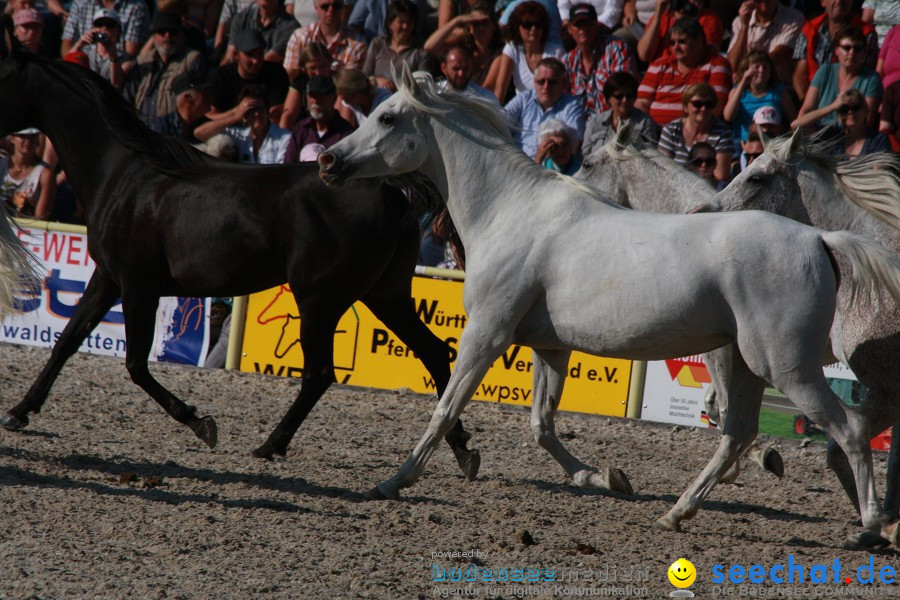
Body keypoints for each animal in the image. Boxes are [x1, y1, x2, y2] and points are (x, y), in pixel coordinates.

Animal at [0, 35, 478, 478]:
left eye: (0, 76)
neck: (124, 174)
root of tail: (392, 190)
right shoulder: (107, 279)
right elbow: (67, 341)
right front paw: (19, 412)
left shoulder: (139, 286)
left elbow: (135, 364)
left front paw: (200, 423)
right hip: (385, 294)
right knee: (435, 354)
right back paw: (461, 450)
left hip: (320, 299)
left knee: (320, 373)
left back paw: (271, 444)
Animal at [320, 69, 900, 544]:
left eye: (386, 116)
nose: (328, 161)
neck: (510, 211)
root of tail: (821, 238)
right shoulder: (549, 348)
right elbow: (542, 425)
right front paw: (603, 477)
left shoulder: (486, 333)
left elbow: (445, 409)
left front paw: (394, 481)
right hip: (745, 364)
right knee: (737, 435)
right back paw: (676, 513)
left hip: (786, 368)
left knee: (847, 431)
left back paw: (870, 528)